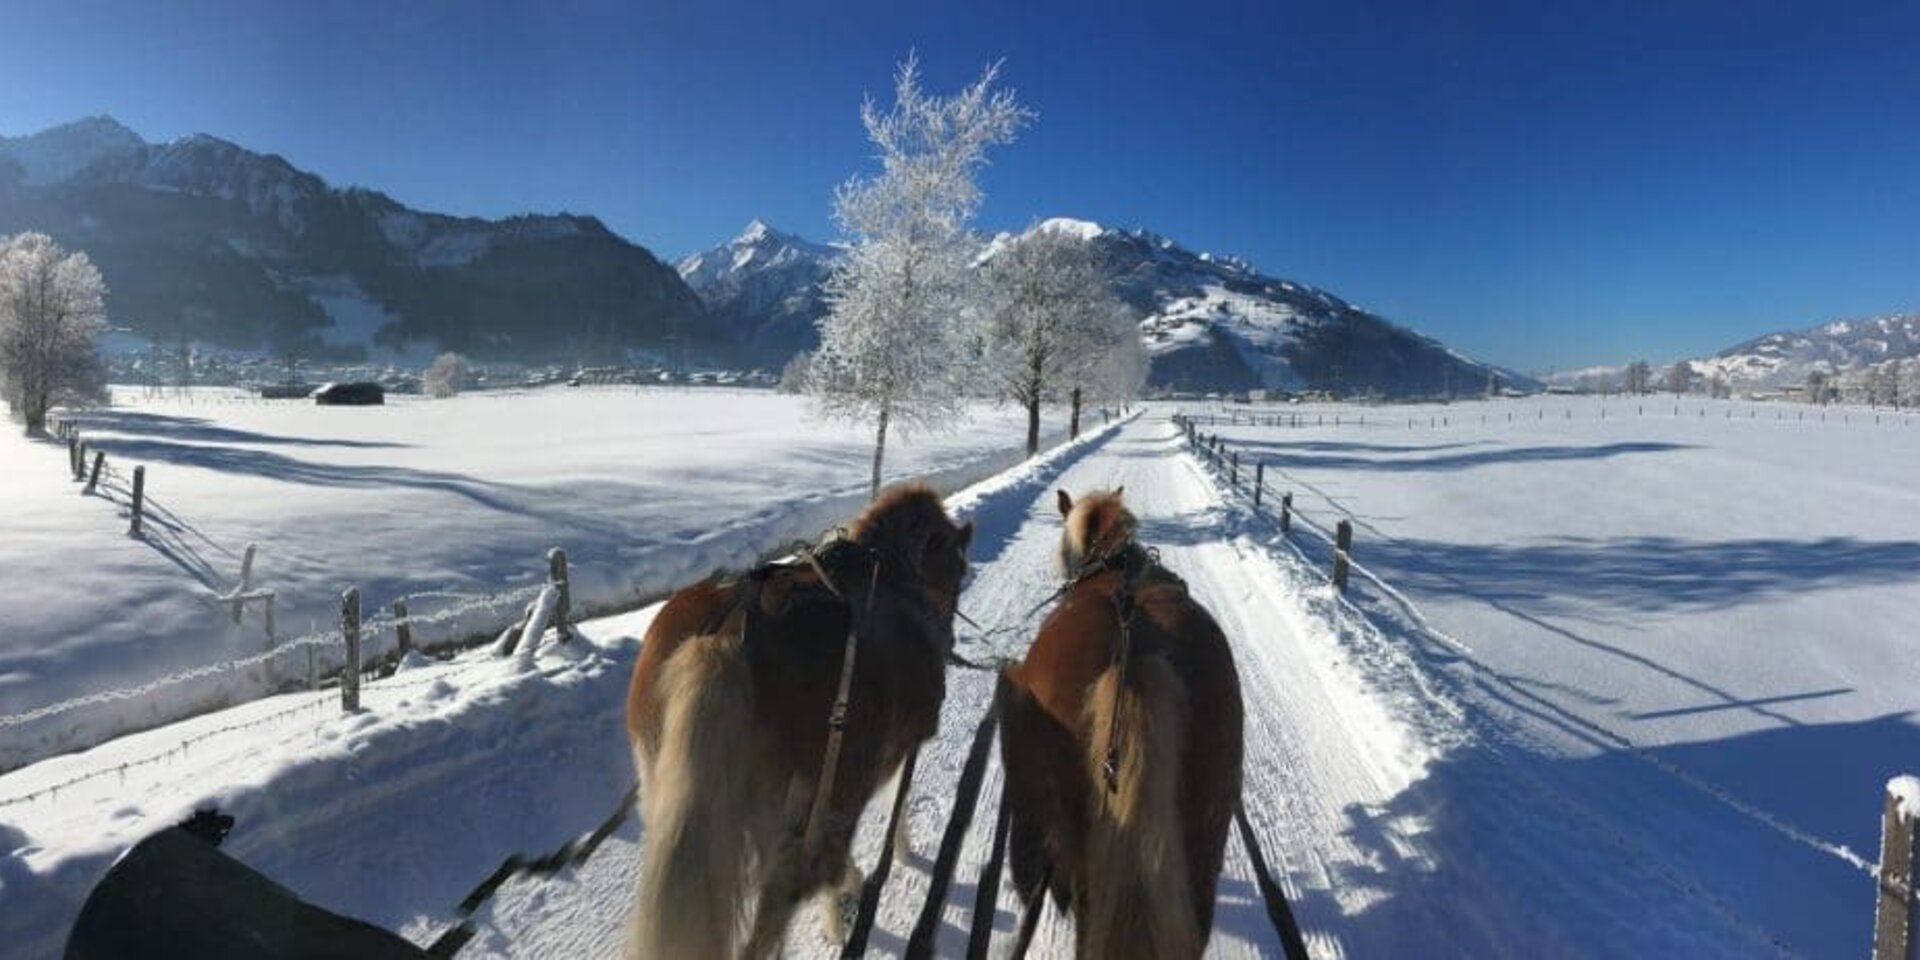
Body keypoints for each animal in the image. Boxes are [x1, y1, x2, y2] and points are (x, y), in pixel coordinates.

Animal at [625, 483, 967, 956]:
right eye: (960, 569)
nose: (948, 637)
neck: (891, 576)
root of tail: (724, 639)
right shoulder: (889, 757)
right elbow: (898, 801)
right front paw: (895, 857)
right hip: (819, 794)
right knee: (787, 895)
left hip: (668, 790)